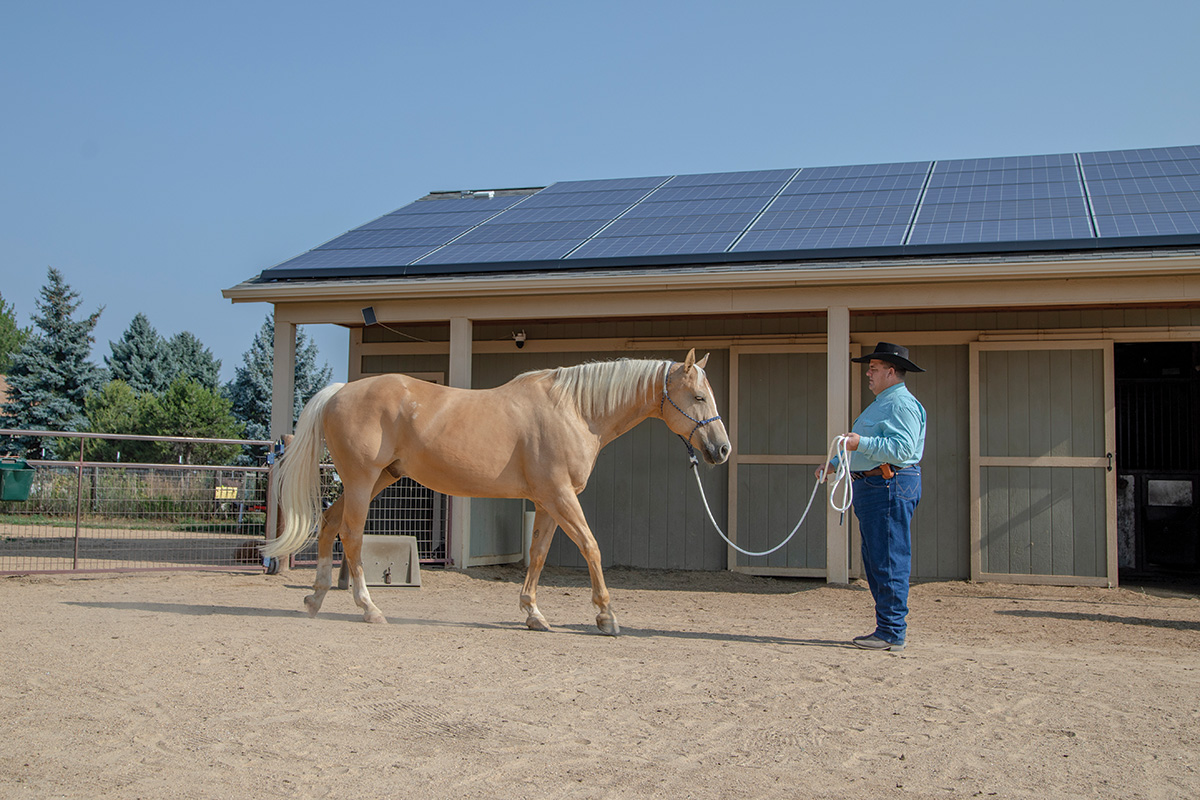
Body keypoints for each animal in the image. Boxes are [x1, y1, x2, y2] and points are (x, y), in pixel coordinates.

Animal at [263, 349, 731, 635]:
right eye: (699, 396)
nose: (722, 449)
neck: (575, 411)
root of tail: (340, 391)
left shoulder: (546, 501)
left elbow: (538, 555)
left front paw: (534, 614)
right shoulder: (561, 496)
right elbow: (591, 547)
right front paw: (606, 615)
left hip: (379, 478)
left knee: (329, 524)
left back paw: (315, 599)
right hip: (363, 480)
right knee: (352, 536)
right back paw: (369, 608)